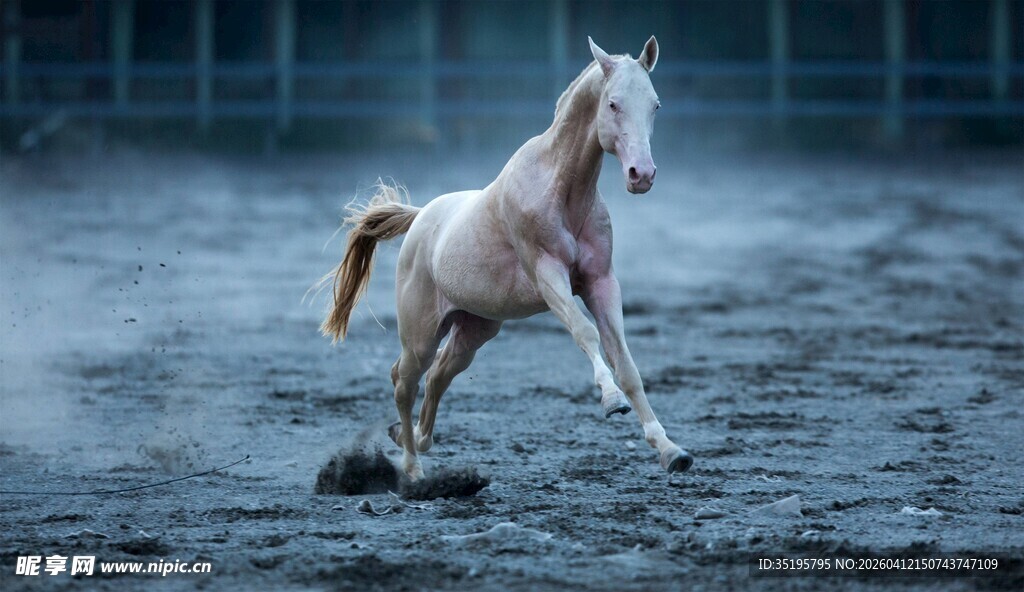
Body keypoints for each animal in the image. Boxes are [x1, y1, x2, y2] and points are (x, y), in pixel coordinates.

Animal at [322, 36, 692, 481]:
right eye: (613, 104)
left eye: (655, 104)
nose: (642, 174)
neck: (560, 190)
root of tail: (420, 217)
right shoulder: (549, 275)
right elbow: (585, 333)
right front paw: (610, 400)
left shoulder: (601, 282)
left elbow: (626, 363)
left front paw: (670, 450)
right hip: (421, 334)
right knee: (404, 381)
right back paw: (412, 469)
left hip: (473, 331)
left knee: (437, 377)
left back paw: (413, 441)